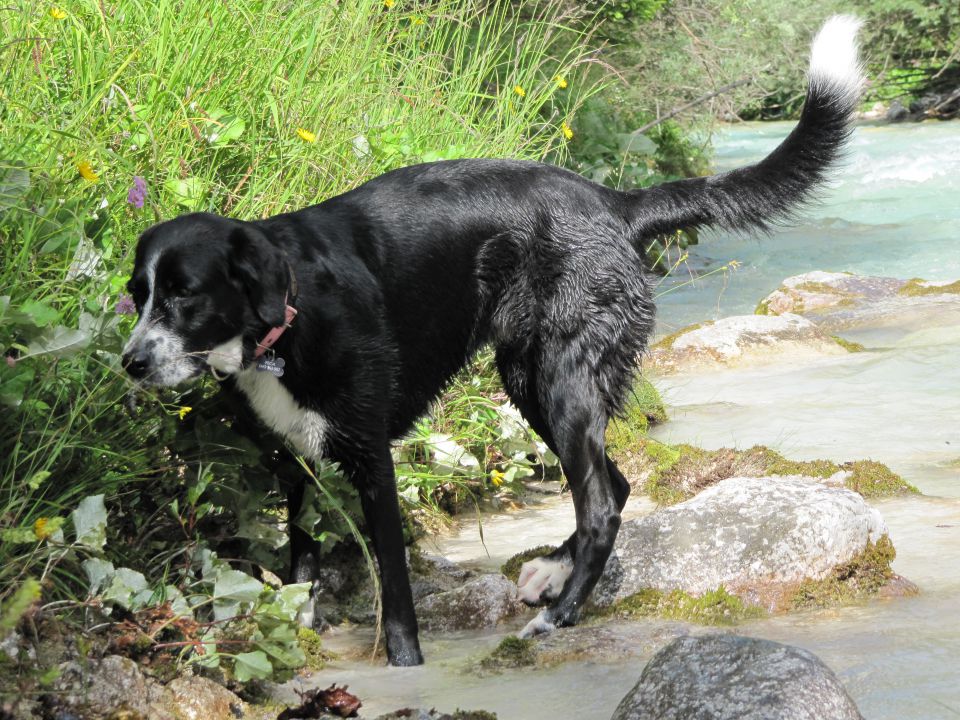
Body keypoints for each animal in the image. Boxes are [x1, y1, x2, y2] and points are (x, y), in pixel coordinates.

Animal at [120, 16, 864, 668]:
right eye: (138, 292)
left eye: (184, 294)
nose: (130, 363)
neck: (291, 313)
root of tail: (615, 203)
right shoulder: (290, 463)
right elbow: (302, 557)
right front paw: (298, 623)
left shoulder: (374, 464)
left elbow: (396, 598)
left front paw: (406, 667)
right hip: (531, 380)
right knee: (617, 485)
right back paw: (552, 575)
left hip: (562, 383)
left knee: (601, 505)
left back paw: (560, 613)